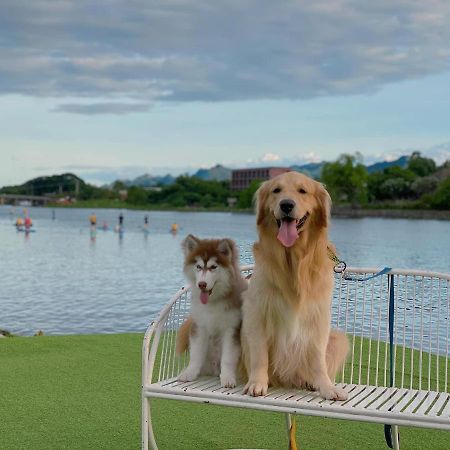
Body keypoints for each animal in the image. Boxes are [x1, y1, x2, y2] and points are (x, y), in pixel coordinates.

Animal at [176, 236, 248, 386]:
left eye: (213, 267)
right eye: (198, 266)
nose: (201, 284)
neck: (213, 301)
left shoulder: (231, 329)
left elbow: (227, 357)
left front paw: (227, 377)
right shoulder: (199, 325)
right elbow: (196, 354)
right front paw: (189, 373)